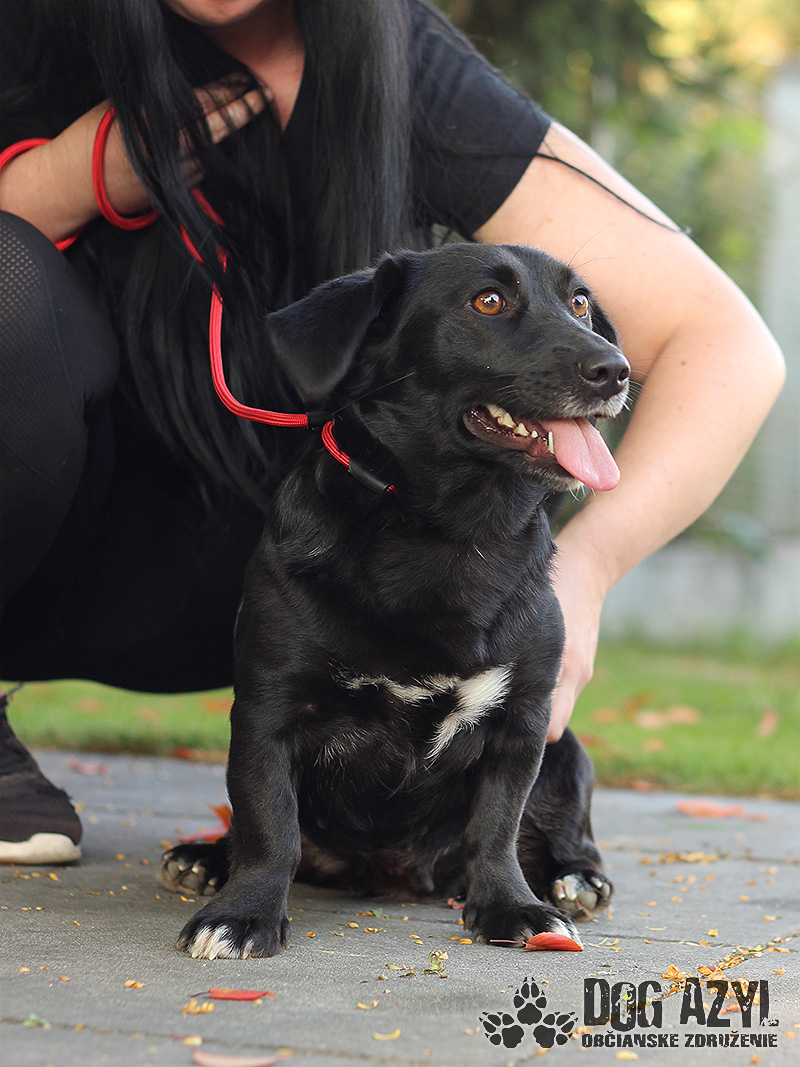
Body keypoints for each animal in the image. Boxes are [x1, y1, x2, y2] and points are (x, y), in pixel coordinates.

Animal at [161, 243, 629, 959]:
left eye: (579, 303)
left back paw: (575, 877)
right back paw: (207, 856)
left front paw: (512, 906)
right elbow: (270, 824)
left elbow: (496, 827)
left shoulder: (523, 722)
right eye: (488, 301)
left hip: (567, 748)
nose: (615, 370)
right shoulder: (270, 710)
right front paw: (243, 913)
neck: (447, 534)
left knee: (566, 831)